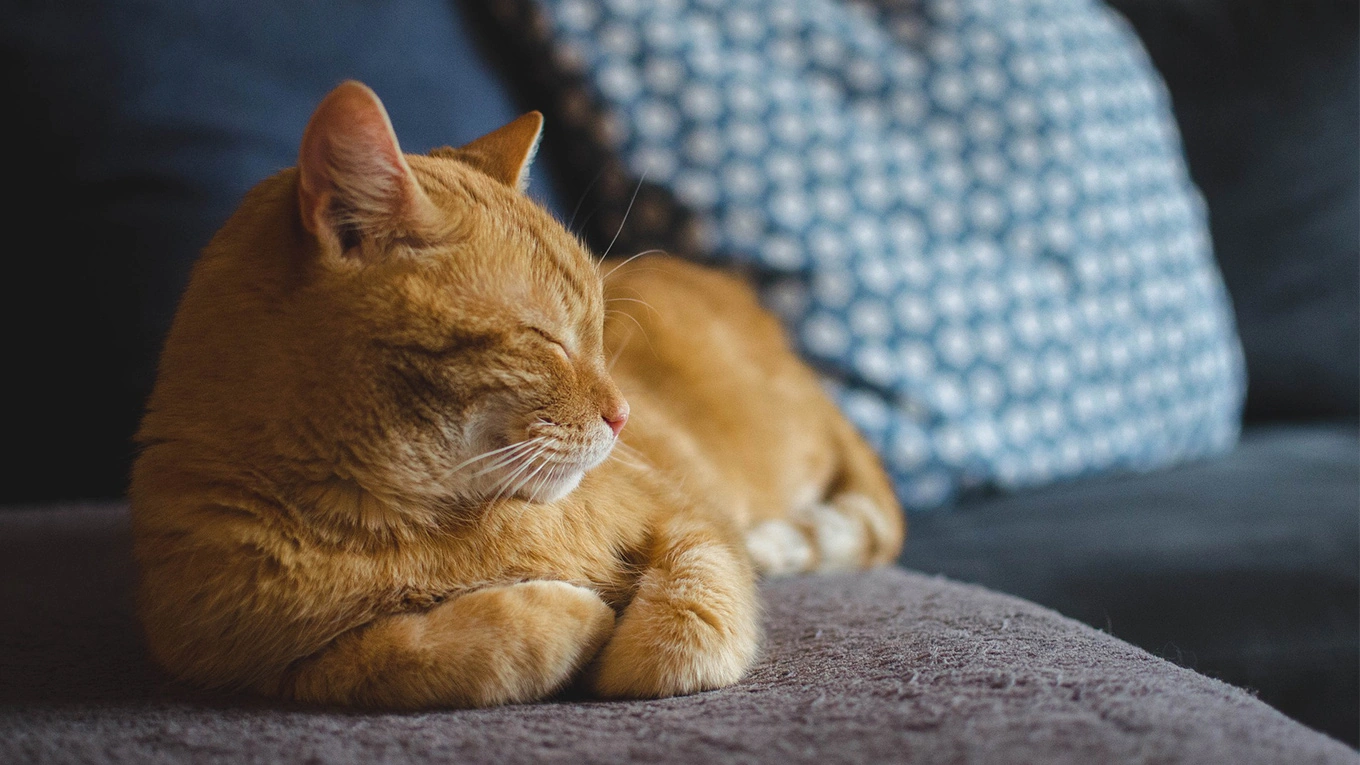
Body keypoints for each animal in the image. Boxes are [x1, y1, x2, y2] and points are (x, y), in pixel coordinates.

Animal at [132, 80, 903, 707]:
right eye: (547, 341)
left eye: (599, 332)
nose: (622, 416)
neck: (411, 521)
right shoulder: (256, 662)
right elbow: (421, 654)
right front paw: (571, 617)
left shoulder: (689, 515)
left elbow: (690, 613)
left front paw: (626, 646)